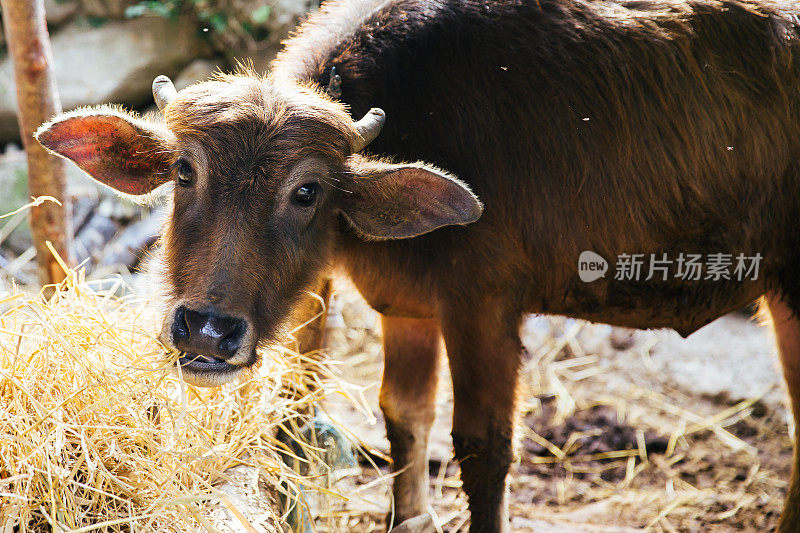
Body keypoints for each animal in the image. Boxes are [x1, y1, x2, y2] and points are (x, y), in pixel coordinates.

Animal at [34, 0, 800, 528]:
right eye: (185, 171)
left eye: (307, 190)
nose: (206, 331)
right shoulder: (406, 308)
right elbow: (405, 417)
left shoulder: (484, 306)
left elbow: (483, 446)